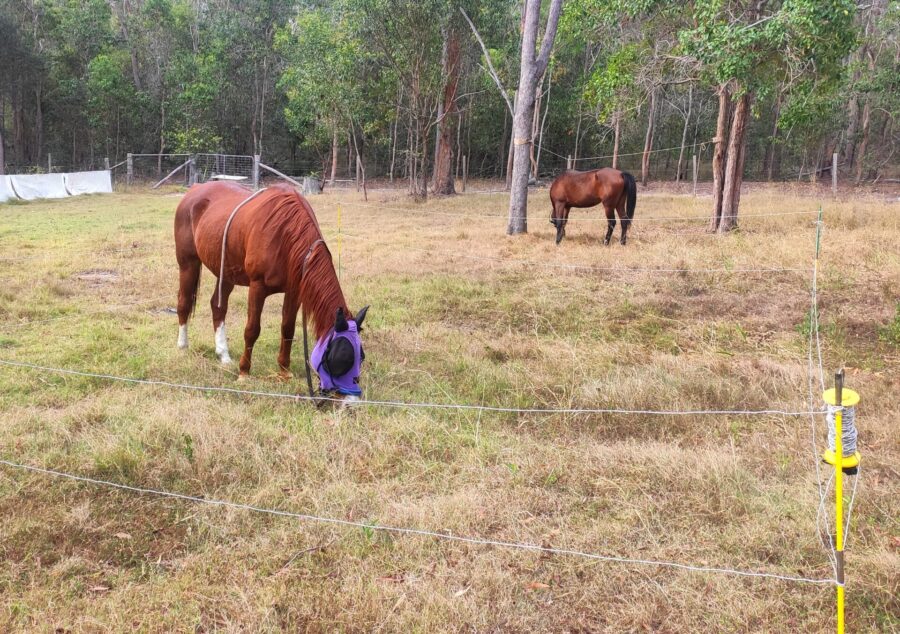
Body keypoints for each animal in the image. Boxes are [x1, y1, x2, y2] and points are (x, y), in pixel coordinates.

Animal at [173, 181, 369, 399]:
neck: (285, 233)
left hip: (226, 272)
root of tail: (195, 189)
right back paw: (182, 346)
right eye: (342, 358)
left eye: (361, 357)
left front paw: (284, 371)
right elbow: (252, 330)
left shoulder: (294, 291)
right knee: (183, 303)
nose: (353, 397)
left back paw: (223, 354)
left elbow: (288, 328)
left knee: (218, 306)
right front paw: (244, 372)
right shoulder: (257, 287)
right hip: (188, 263)